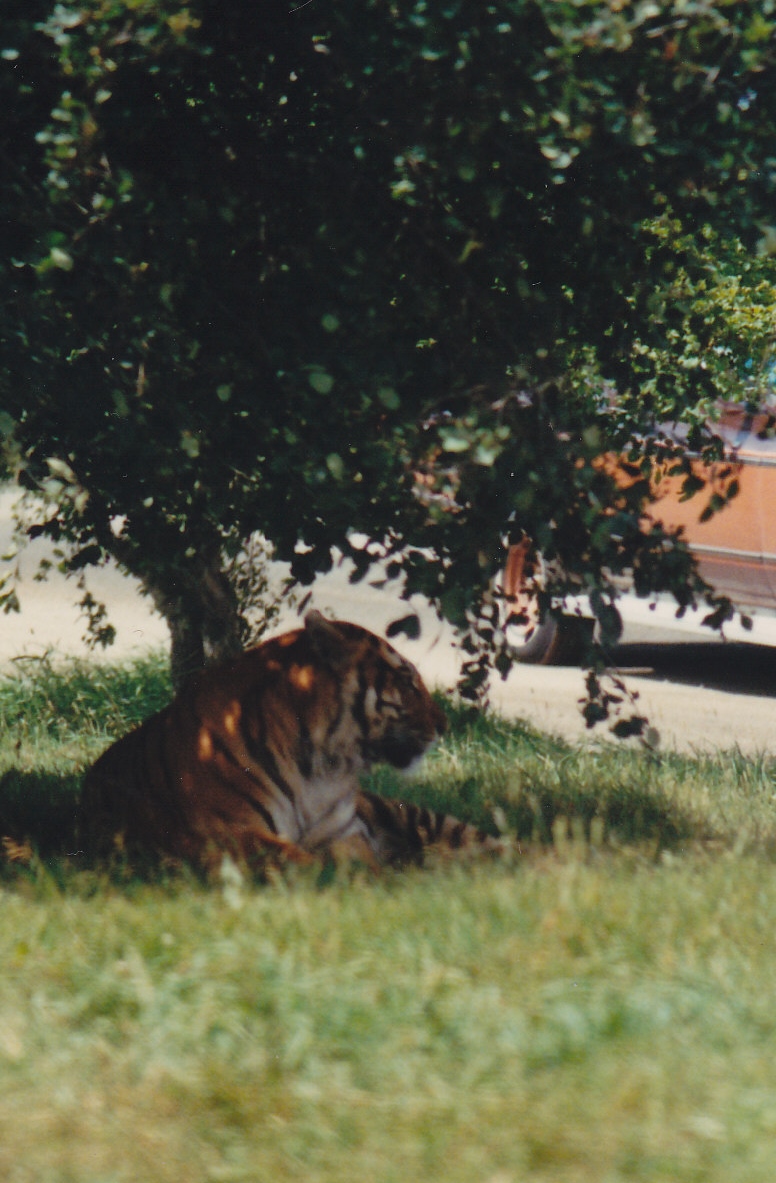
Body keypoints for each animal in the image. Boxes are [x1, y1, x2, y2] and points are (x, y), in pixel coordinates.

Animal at [82, 610, 504, 872]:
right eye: (405, 681)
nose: (444, 725)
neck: (322, 767)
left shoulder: (345, 833)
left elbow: (360, 864)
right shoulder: (228, 833)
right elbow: (308, 864)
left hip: (406, 811)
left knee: (491, 842)